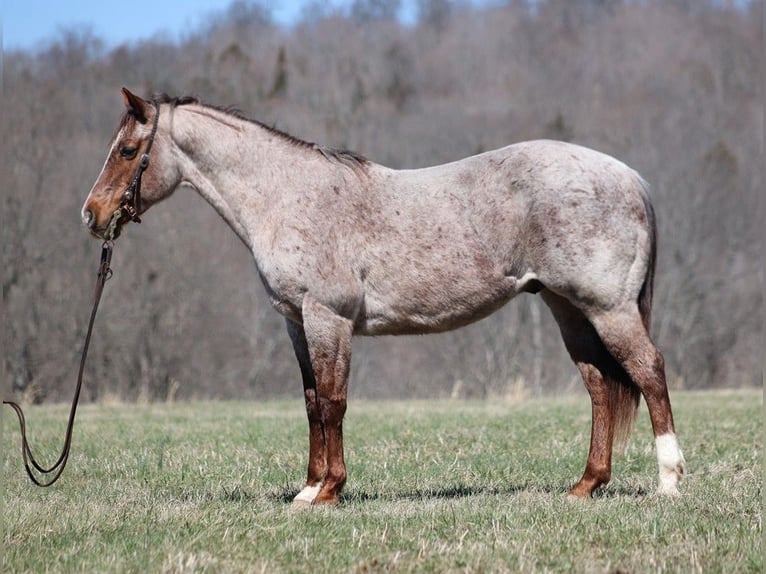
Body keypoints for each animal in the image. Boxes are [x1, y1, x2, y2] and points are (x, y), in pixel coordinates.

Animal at [81, 88, 688, 506]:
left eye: (128, 150)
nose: (92, 215)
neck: (287, 196)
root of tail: (629, 177)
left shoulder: (327, 319)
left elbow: (333, 402)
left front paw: (329, 491)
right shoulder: (296, 323)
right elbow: (311, 403)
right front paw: (308, 490)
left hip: (607, 309)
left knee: (648, 370)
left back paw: (668, 481)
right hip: (567, 309)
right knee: (600, 386)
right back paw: (585, 485)